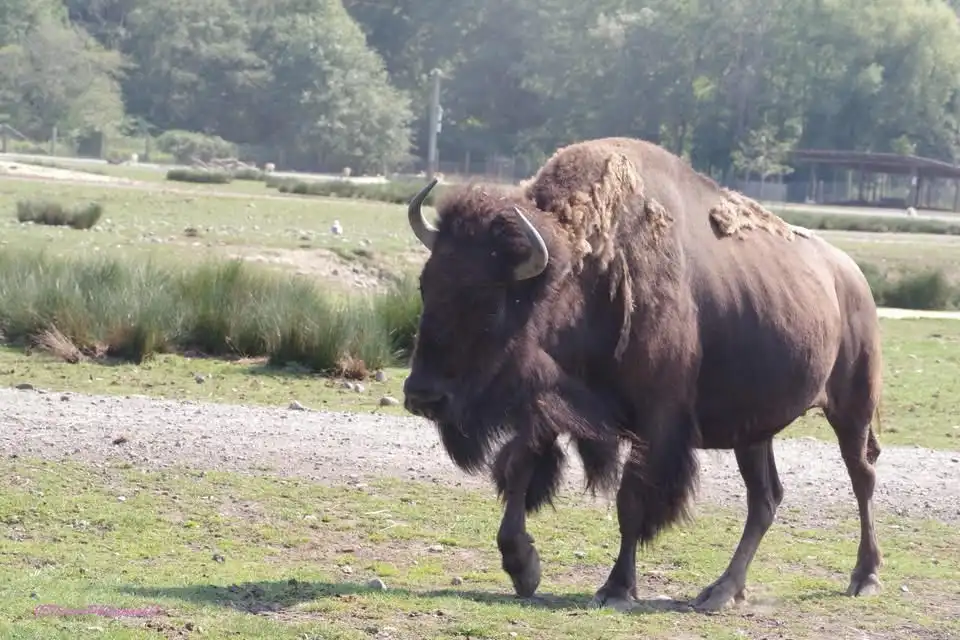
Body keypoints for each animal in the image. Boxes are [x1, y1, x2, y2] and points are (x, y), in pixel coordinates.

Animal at [401, 136, 883, 612]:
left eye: (490, 301)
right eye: (426, 284)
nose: (423, 396)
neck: (586, 274)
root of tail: (852, 278)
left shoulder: (656, 421)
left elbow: (631, 500)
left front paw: (616, 588)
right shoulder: (554, 406)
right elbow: (519, 467)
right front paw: (523, 568)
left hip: (851, 411)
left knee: (861, 477)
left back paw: (864, 577)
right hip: (753, 432)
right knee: (765, 498)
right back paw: (723, 590)